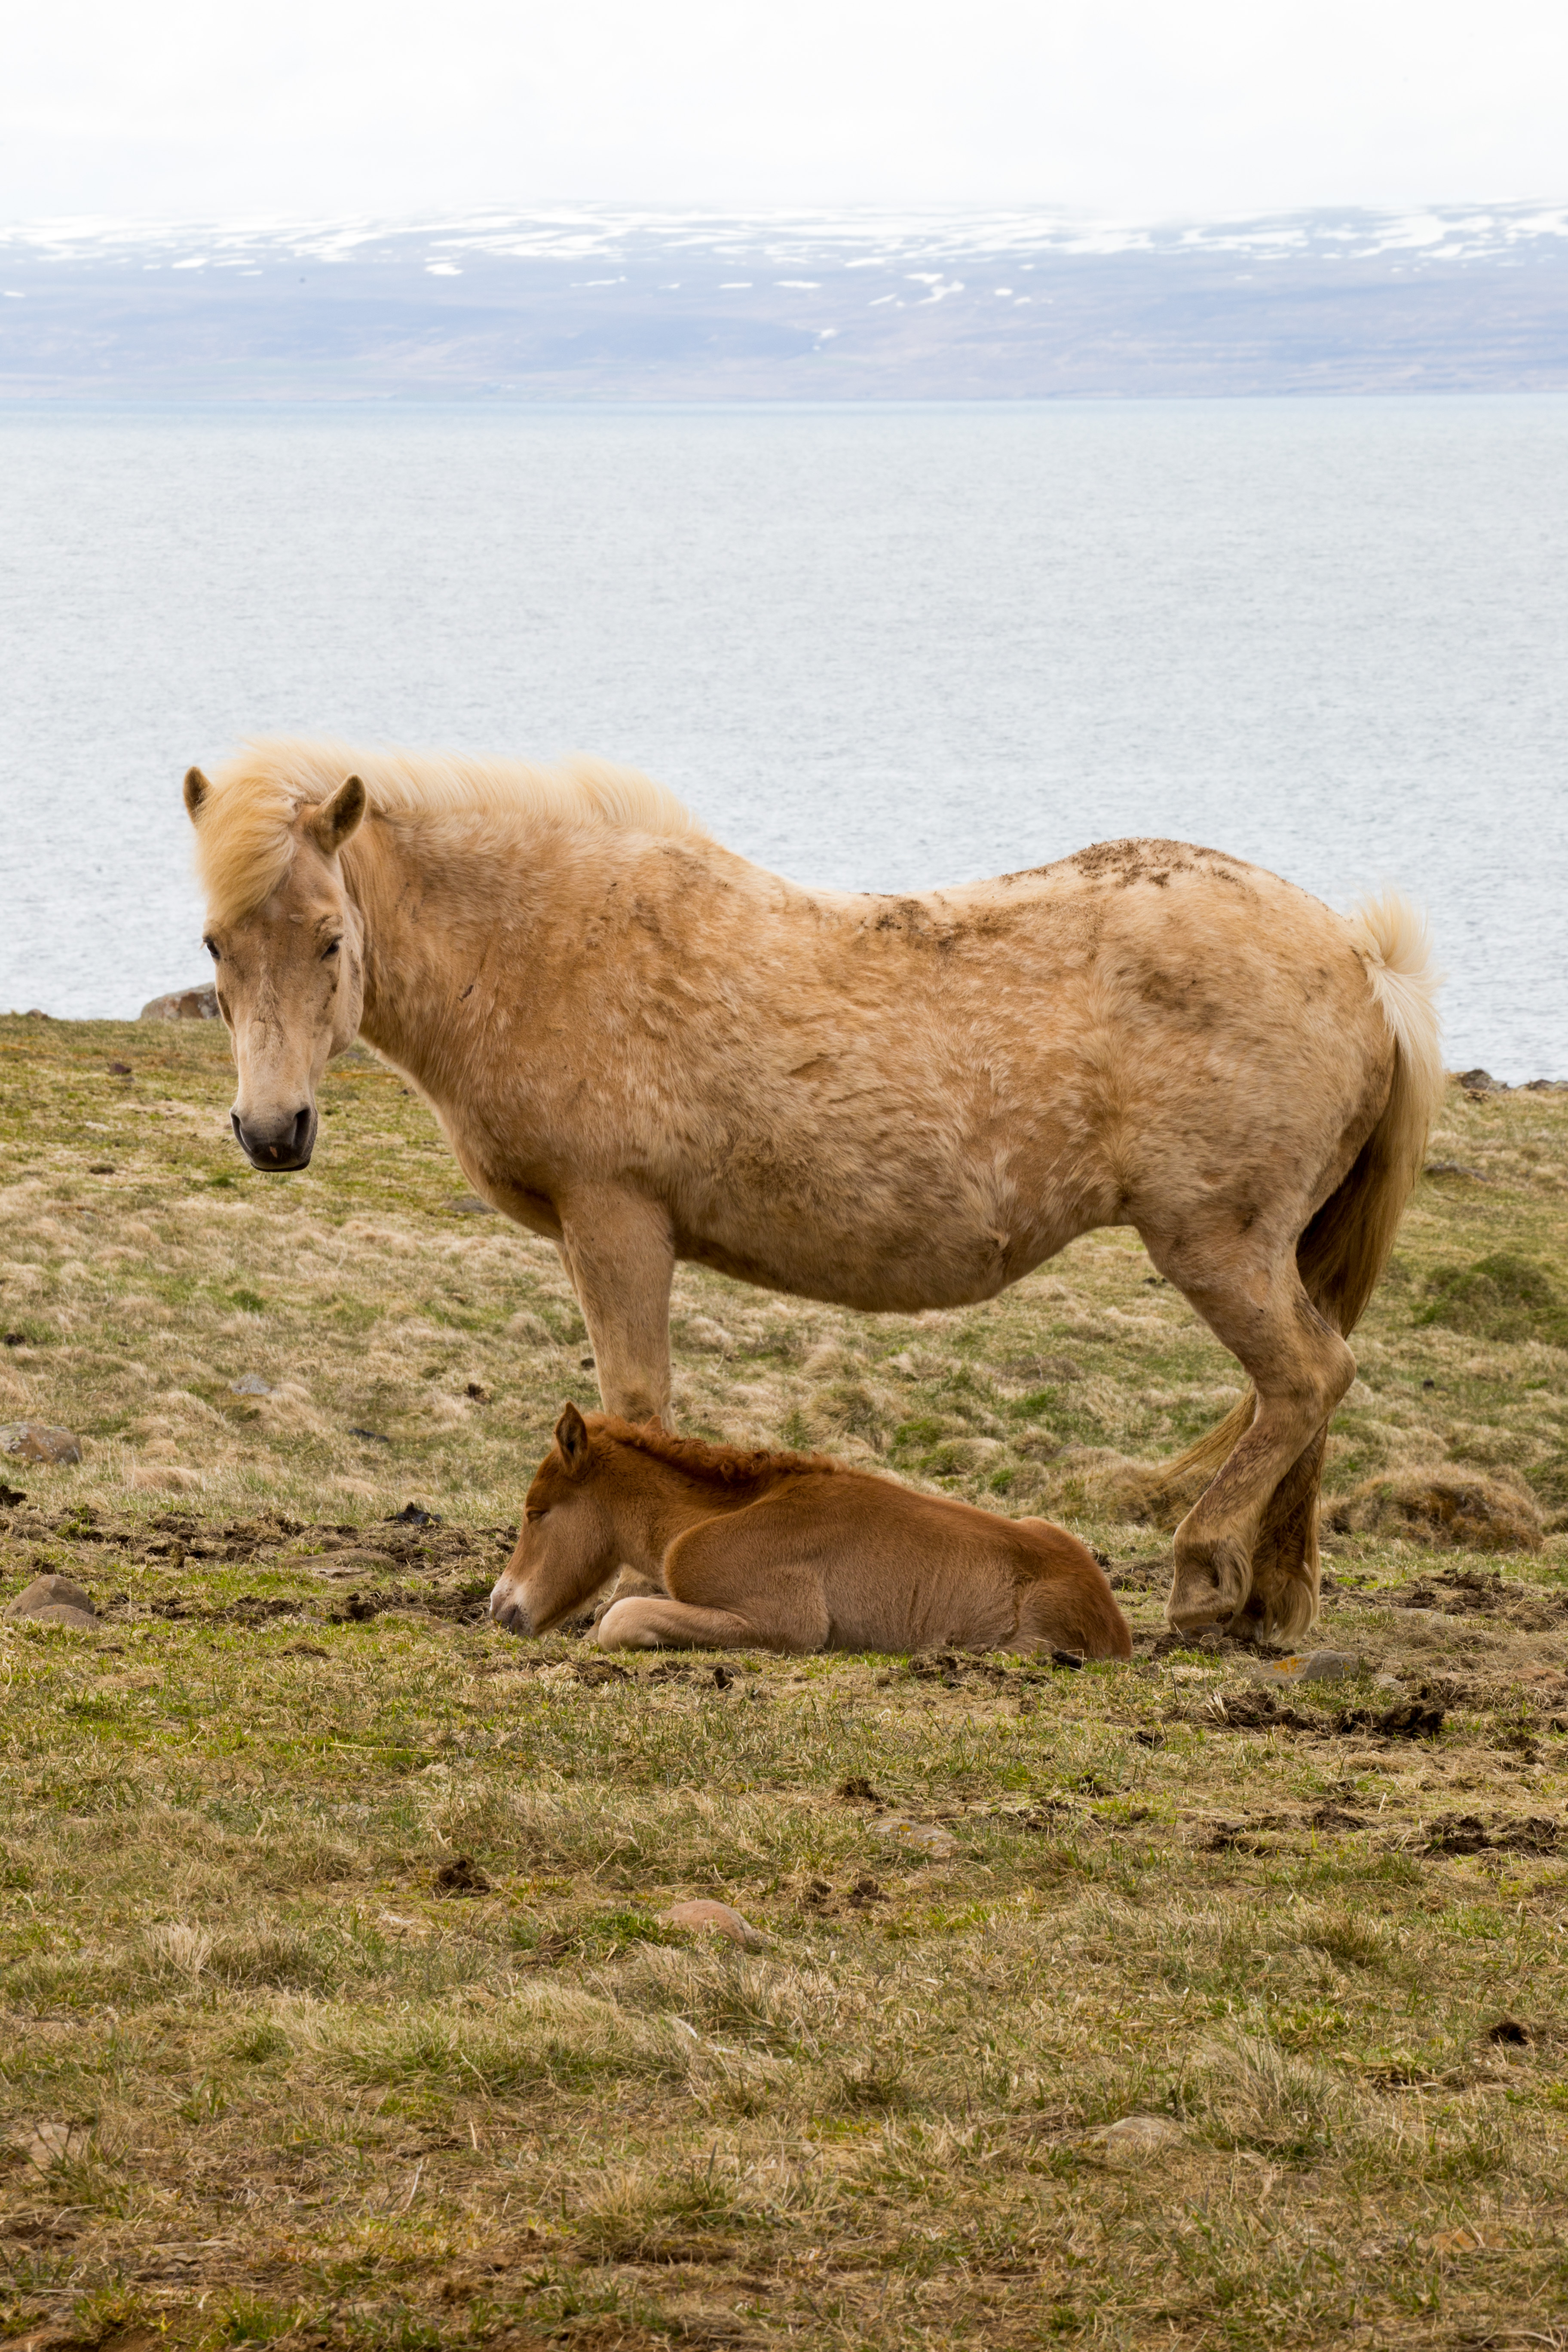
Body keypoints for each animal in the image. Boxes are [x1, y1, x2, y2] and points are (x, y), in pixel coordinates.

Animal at [489, 1403, 1133, 1658]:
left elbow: (617, 1620)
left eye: (537, 1512)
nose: (498, 1607)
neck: (715, 1517)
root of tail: (1113, 1623)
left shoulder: (786, 1623)